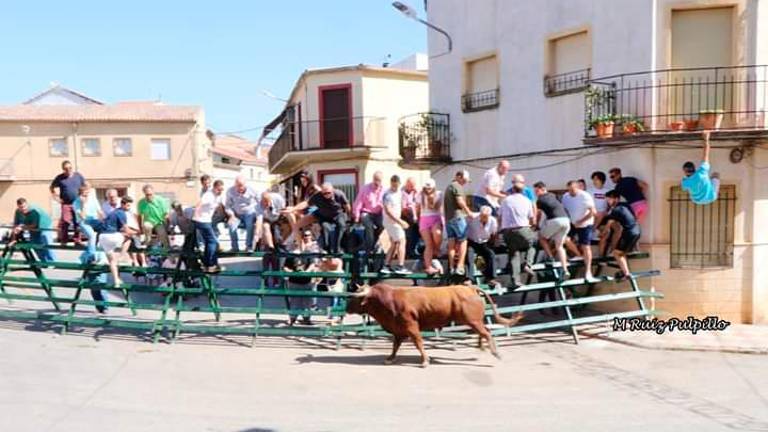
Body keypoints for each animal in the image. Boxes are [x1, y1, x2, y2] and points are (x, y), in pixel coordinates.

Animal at [346, 284, 520, 368]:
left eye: (355, 298)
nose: (346, 307)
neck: (388, 300)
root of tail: (469, 287)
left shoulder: (411, 326)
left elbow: (418, 343)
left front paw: (425, 361)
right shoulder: (399, 330)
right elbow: (395, 346)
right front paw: (389, 359)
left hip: (473, 321)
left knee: (486, 333)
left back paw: (495, 353)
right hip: (474, 321)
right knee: (484, 332)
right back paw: (481, 347)